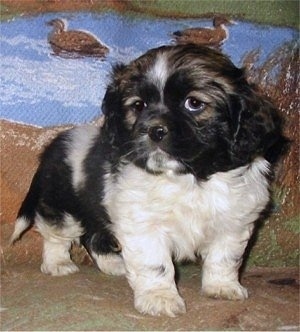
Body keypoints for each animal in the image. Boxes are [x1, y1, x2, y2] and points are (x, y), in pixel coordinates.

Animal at [9, 44, 286, 316]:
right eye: (138, 105)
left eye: (194, 103)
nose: (154, 130)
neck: (190, 178)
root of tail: (54, 145)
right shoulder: (144, 224)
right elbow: (156, 264)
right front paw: (159, 298)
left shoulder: (235, 221)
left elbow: (224, 257)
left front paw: (222, 287)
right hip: (63, 205)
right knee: (57, 234)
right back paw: (58, 263)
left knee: (93, 236)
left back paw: (113, 264)